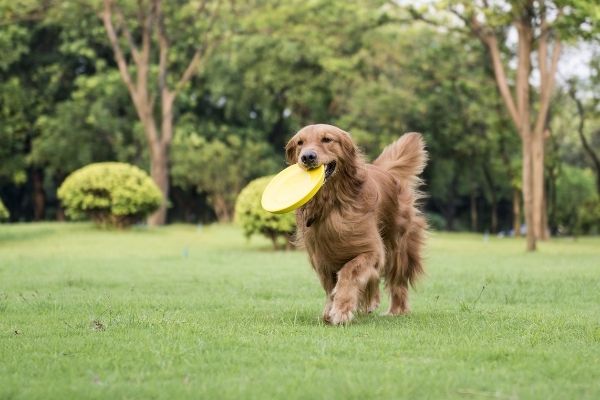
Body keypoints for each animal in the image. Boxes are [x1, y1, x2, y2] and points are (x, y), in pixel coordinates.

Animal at [286, 123, 426, 324]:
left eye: (327, 139)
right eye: (300, 143)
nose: (307, 157)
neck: (331, 203)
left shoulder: (372, 250)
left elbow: (349, 272)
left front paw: (341, 310)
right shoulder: (321, 258)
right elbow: (330, 286)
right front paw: (330, 310)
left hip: (397, 247)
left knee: (397, 281)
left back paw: (396, 310)